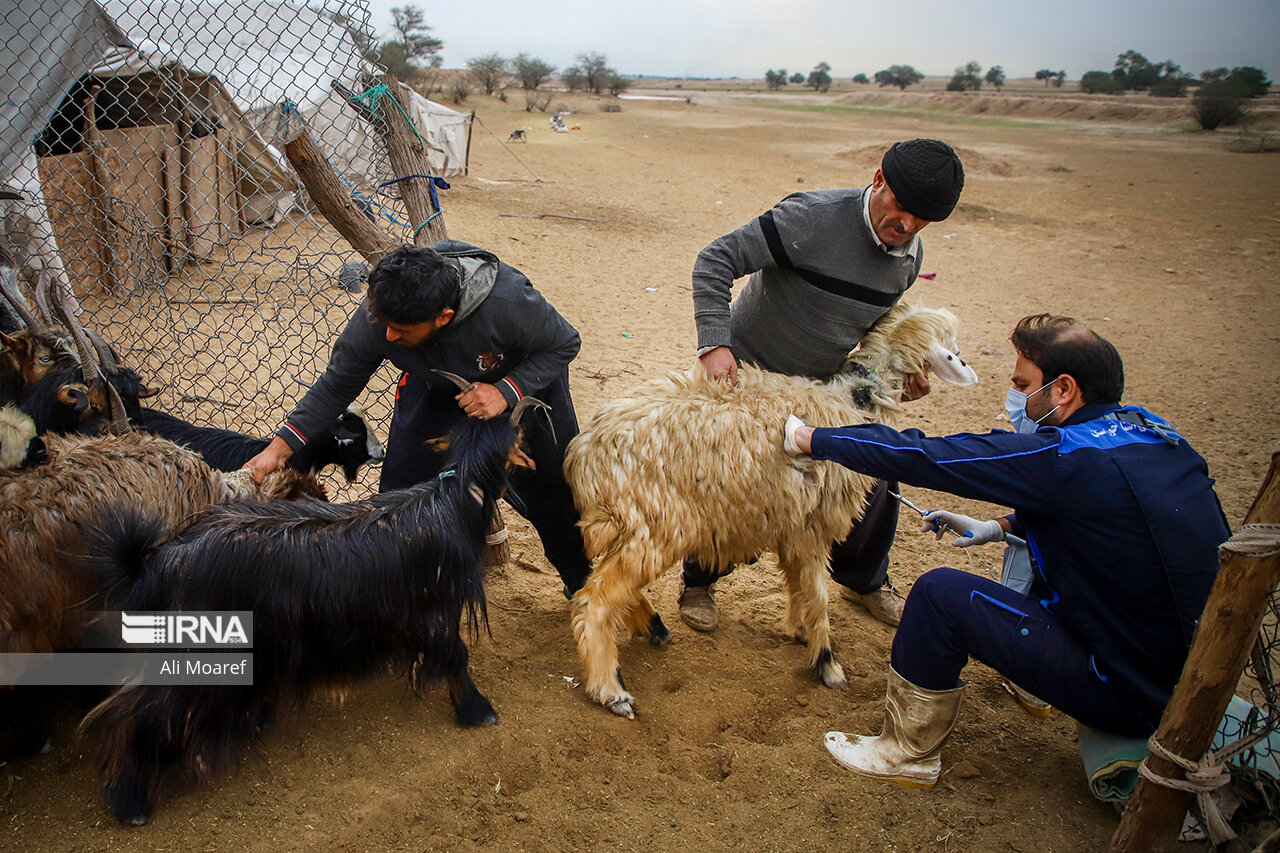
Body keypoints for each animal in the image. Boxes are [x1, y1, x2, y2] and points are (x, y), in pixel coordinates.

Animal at [80, 402, 540, 819]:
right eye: (519, 436)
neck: (453, 503)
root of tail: (161, 561)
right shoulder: (438, 607)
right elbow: (456, 658)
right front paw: (478, 711)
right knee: (131, 715)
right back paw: (130, 801)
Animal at [565, 302, 972, 712]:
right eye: (951, 344)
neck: (855, 399)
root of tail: (584, 453)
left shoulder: (793, 524)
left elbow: (797, 583)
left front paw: (799, 630)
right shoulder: (814, 525)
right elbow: (818, 595)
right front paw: (827, 665)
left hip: (636, 527)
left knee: (601, 584)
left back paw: (652, 627)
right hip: (654, 525)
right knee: (593, 600)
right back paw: (611, 689)